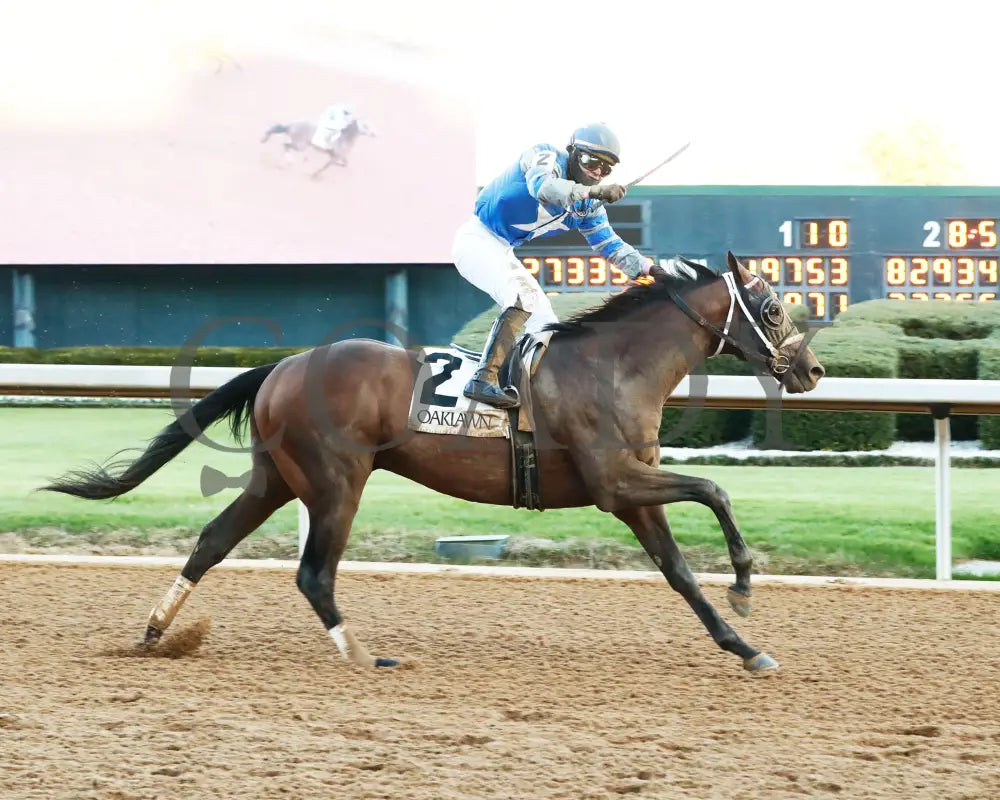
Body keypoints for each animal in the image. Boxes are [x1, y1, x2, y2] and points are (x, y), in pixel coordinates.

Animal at [41, 252, 820, 676]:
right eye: (773, 308)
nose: (811, 370)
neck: (615, 367)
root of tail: (282, 366)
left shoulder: (632, 494)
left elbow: (680, 572)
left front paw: (745, 646)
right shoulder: (615, 482)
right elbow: (714, 488)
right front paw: (744, 584)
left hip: (277, 478)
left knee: (211, 541)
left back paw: (154, 632)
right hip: (336, 480)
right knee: (313, 573)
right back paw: (363, 654)